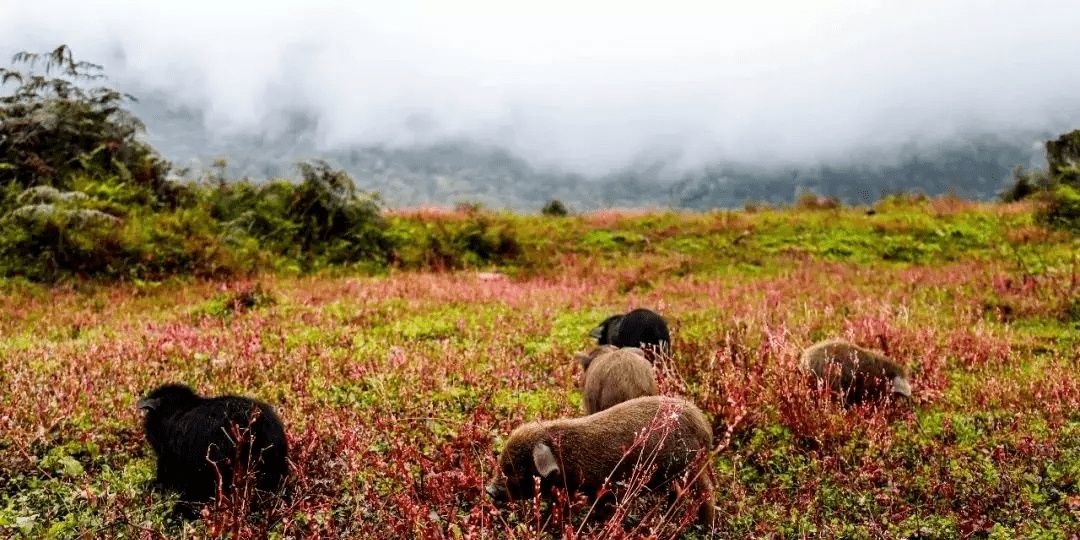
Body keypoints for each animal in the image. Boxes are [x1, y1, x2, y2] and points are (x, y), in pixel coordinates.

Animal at [490, 397, 717, 527]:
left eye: (516, 468)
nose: (489, 490)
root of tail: (705, 426)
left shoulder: (606, 489)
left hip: (691, 465)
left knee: (704, 493)